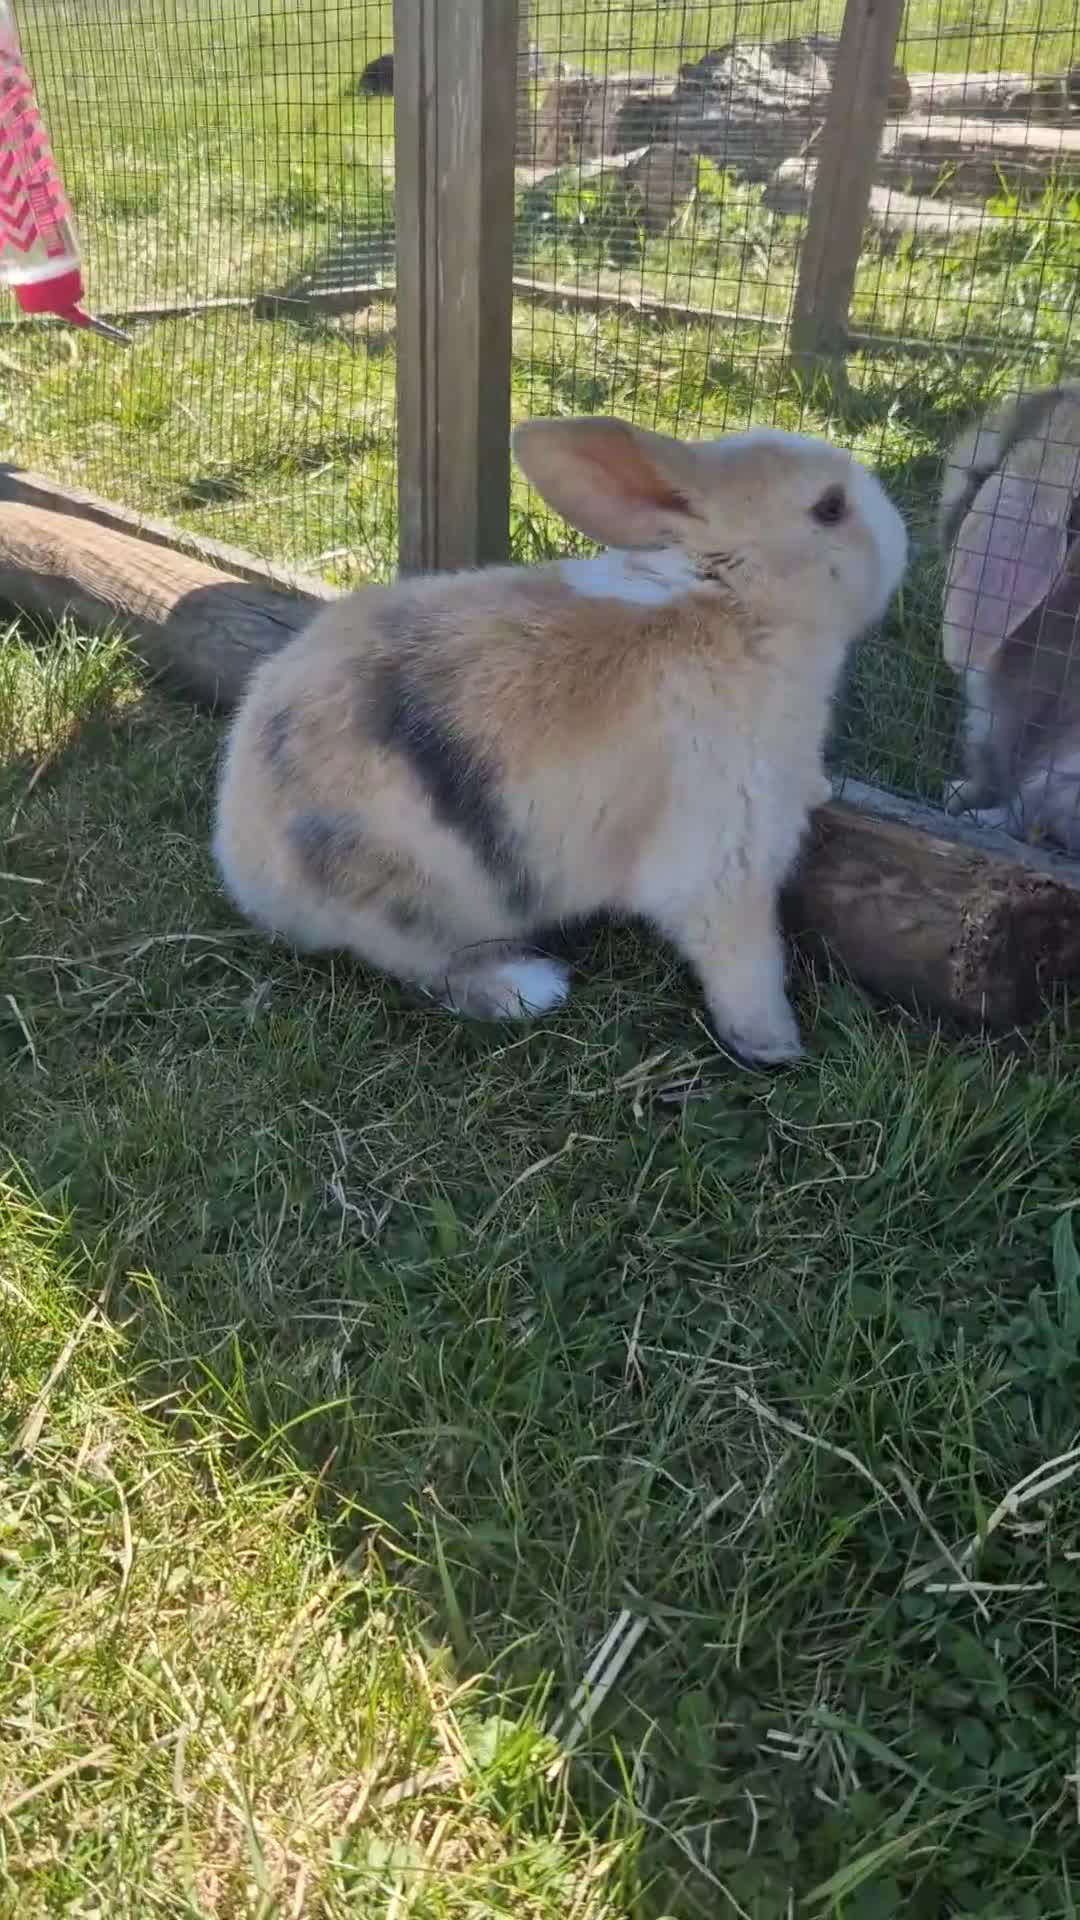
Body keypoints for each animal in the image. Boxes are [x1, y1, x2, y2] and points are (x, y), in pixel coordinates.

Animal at [213, 417, 907, 1063]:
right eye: (829, 508)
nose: (902, 535)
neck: (733, 604)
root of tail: (241, 858)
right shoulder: (725, 852)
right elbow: (743, 957)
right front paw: (774, 1043)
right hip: (406, 898)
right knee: (424, 963)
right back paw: (527, 988)